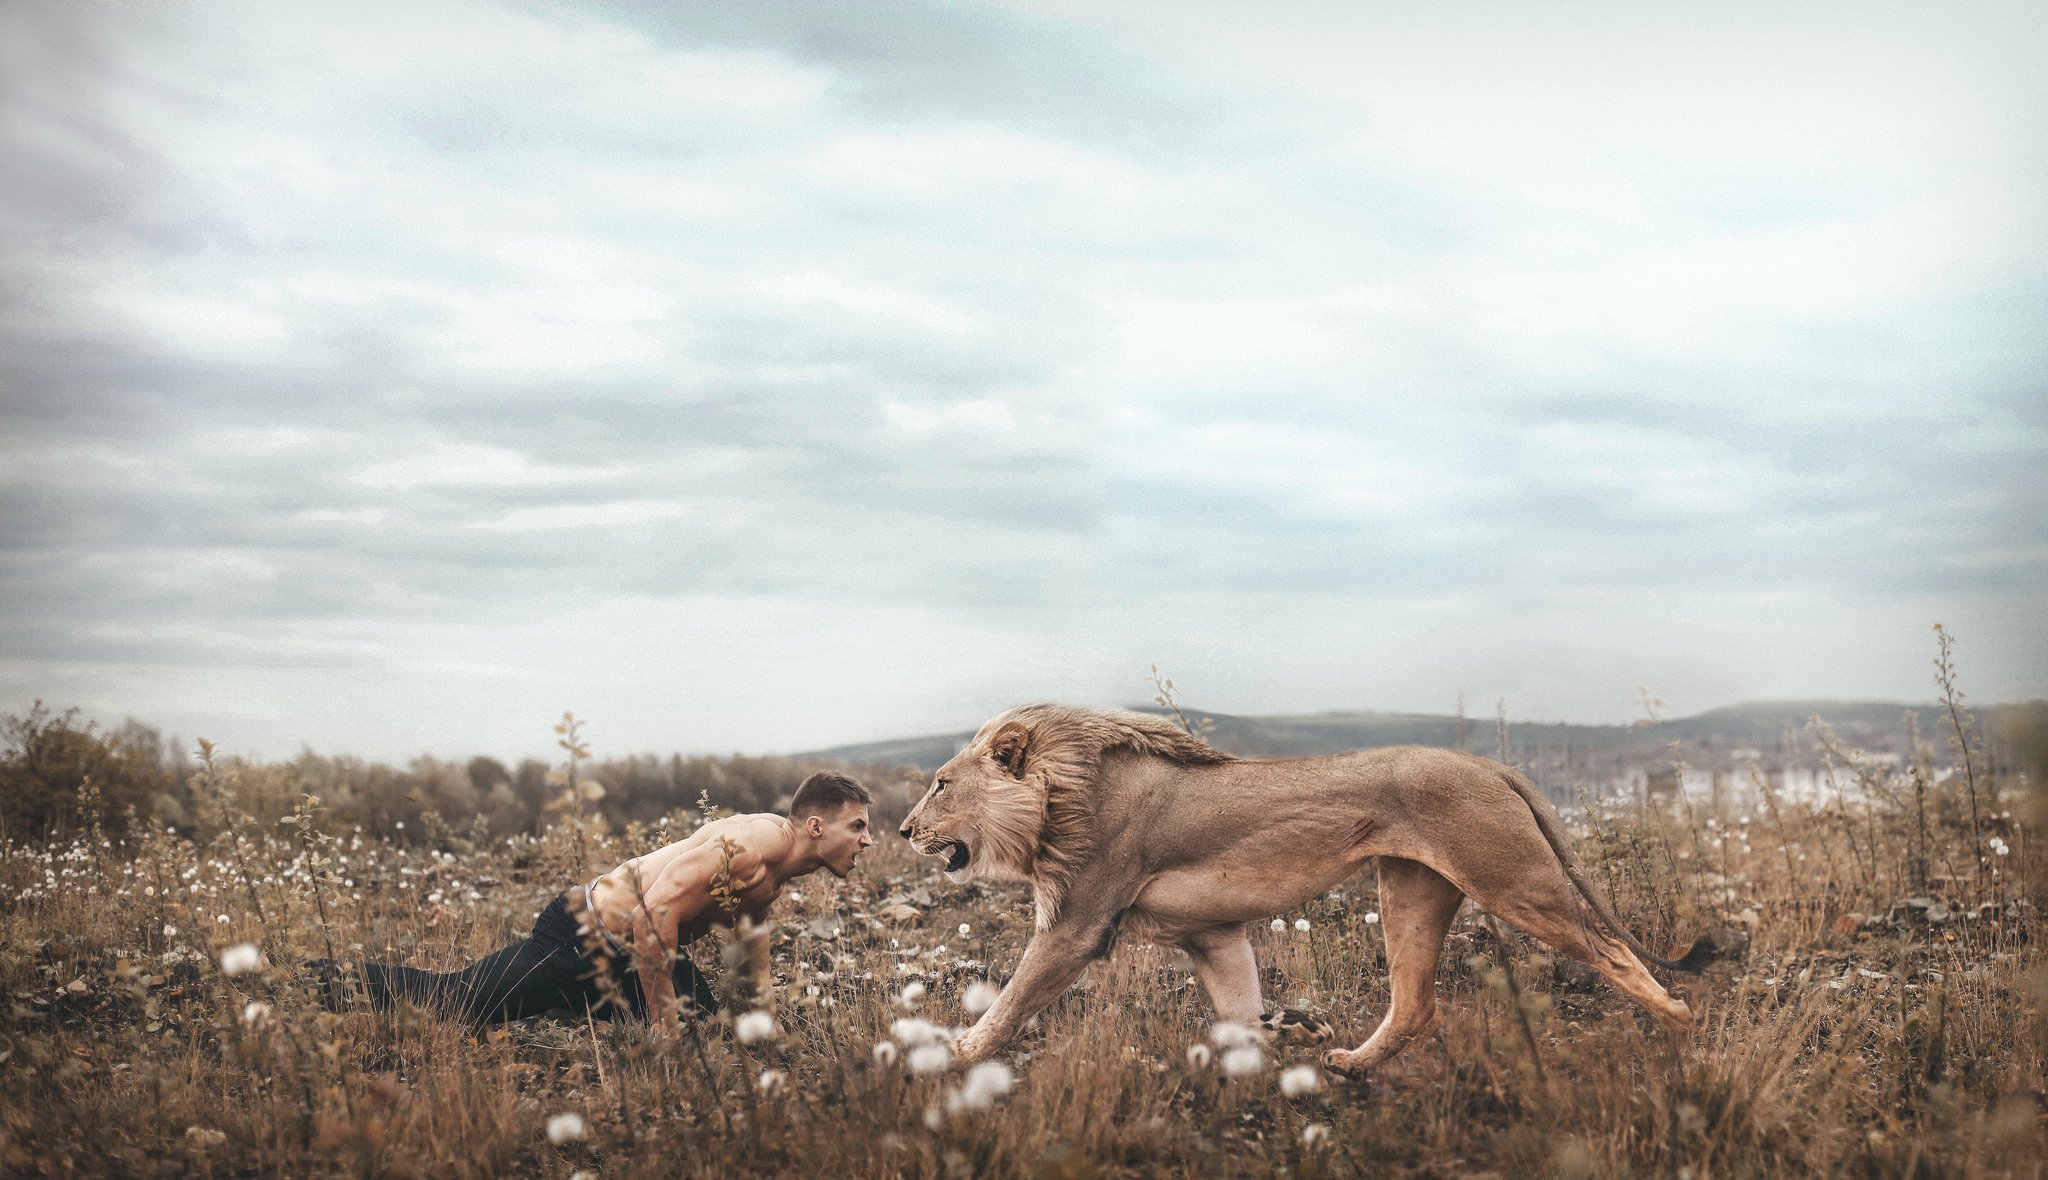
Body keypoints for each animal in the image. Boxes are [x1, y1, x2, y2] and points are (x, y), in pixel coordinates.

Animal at [899, 704, 1709, 1072]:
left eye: (940, 783)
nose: (903, 830)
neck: (1058, 796)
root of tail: (1490, 765)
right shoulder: (1212, 935)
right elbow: (1238, 1009)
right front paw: (1276, 1044)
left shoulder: (1075, 925)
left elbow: (1011, 999)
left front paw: (957, 1053)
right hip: (1411, 892)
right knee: (1415, 1005)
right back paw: (1347, 1065)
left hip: (1516, 882)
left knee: (1612, 951)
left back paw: (1680, 1026)